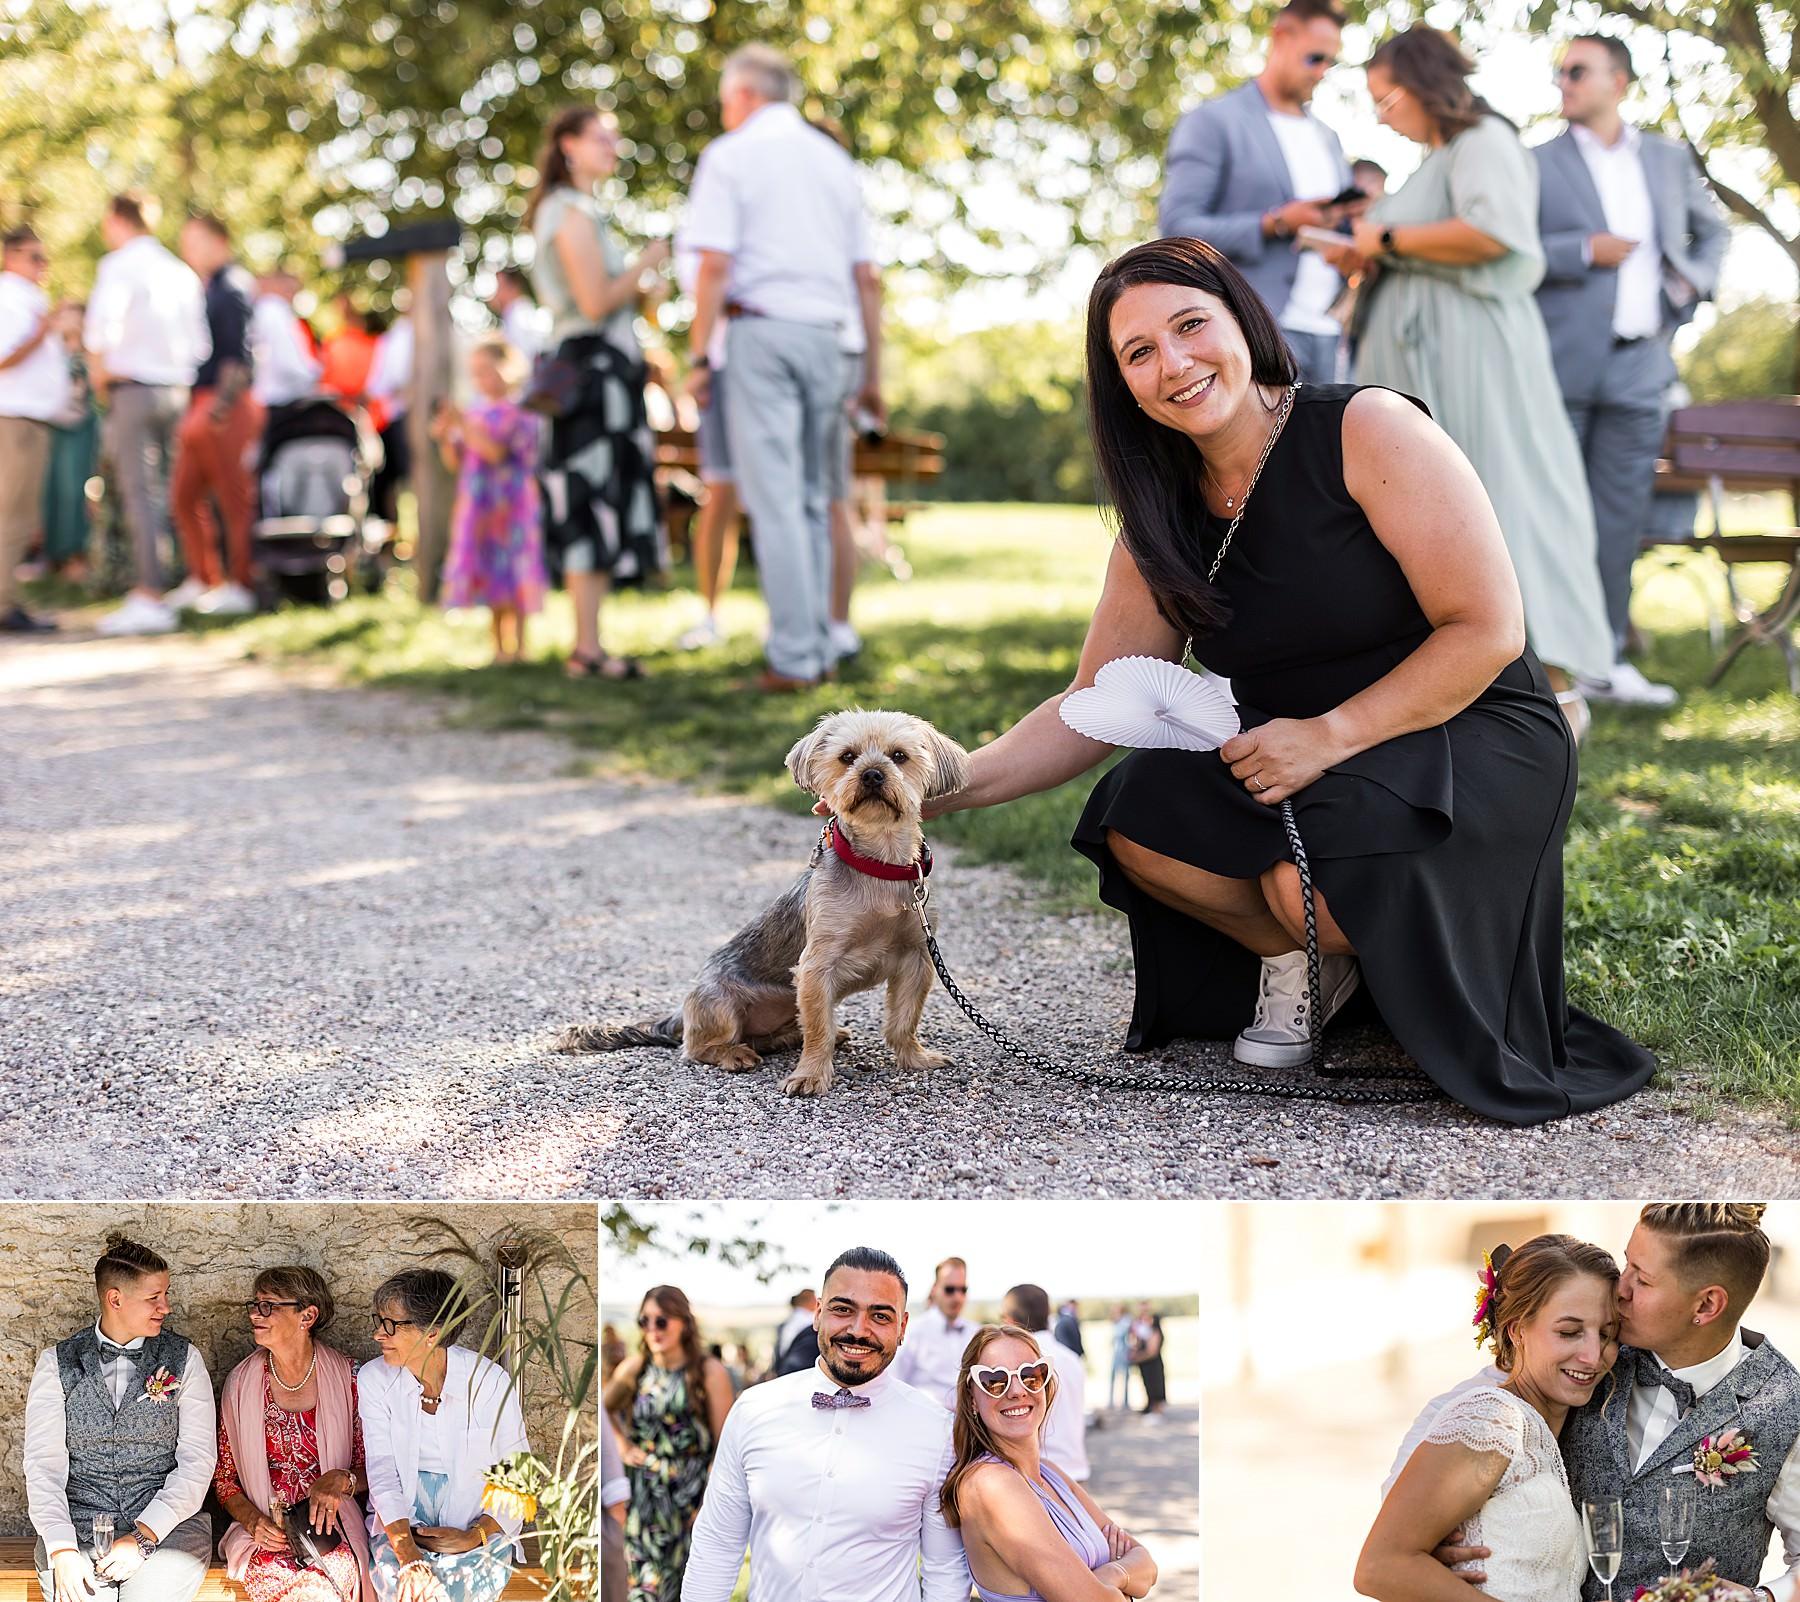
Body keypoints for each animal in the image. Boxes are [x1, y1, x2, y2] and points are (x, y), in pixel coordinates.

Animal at [558, 712, 972, 1101]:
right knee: (698, 1046)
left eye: (899, 756)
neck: (878, 865)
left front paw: (916, 1058)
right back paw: (734, 1053)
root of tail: (680, 1012)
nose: (871, 774)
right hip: (719, 1003)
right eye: (847, 757)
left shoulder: (916, 957)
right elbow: (818, 1029)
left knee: (774, 1034)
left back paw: (790, 1038)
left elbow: (903, 1020)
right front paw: (811, 1076)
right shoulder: (816, 967)